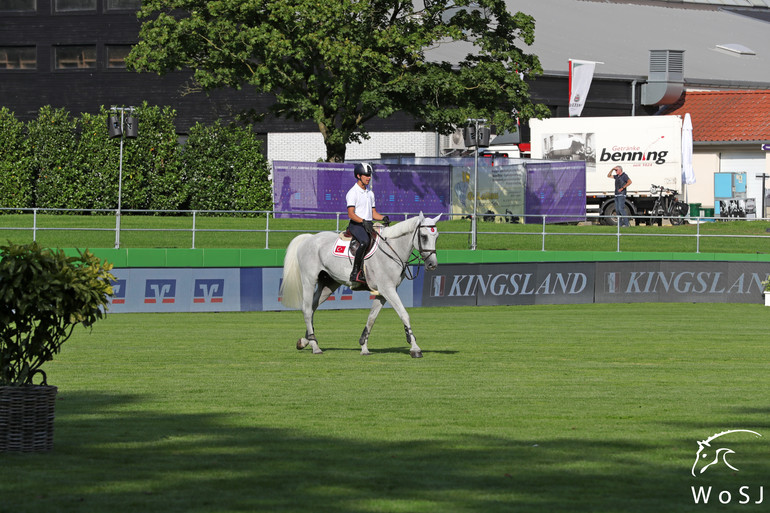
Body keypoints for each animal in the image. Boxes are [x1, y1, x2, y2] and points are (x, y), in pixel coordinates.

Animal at [280, 211, 438, 356]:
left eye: (436, 237)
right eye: (424, 237)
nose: (432, 264)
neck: (392, 249)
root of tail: (309, 238)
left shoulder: (382, 293)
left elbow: (372, 318)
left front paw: (364, 346)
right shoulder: (388, 289)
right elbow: (404, 314)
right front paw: (415, 348)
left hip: (329, 284)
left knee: (313, 308)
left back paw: (305, 340)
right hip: (309, 280)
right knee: (307, 309)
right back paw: (315, 346)